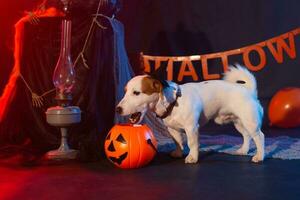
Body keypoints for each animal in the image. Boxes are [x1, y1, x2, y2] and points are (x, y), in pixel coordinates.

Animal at [116, 65, 264, 163]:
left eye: (136, 93)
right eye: (125, 91)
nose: (117, 109)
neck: (174, 102)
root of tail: (249, 91)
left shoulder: (191, 128)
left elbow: (192, 143)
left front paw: (192, 157)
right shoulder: (172, 129)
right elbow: (178, 142)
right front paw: (178, 152)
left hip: (250, 122)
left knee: (259, 137)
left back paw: (259, 156)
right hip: (239, 123)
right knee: (247, 136)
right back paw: (243, 151)